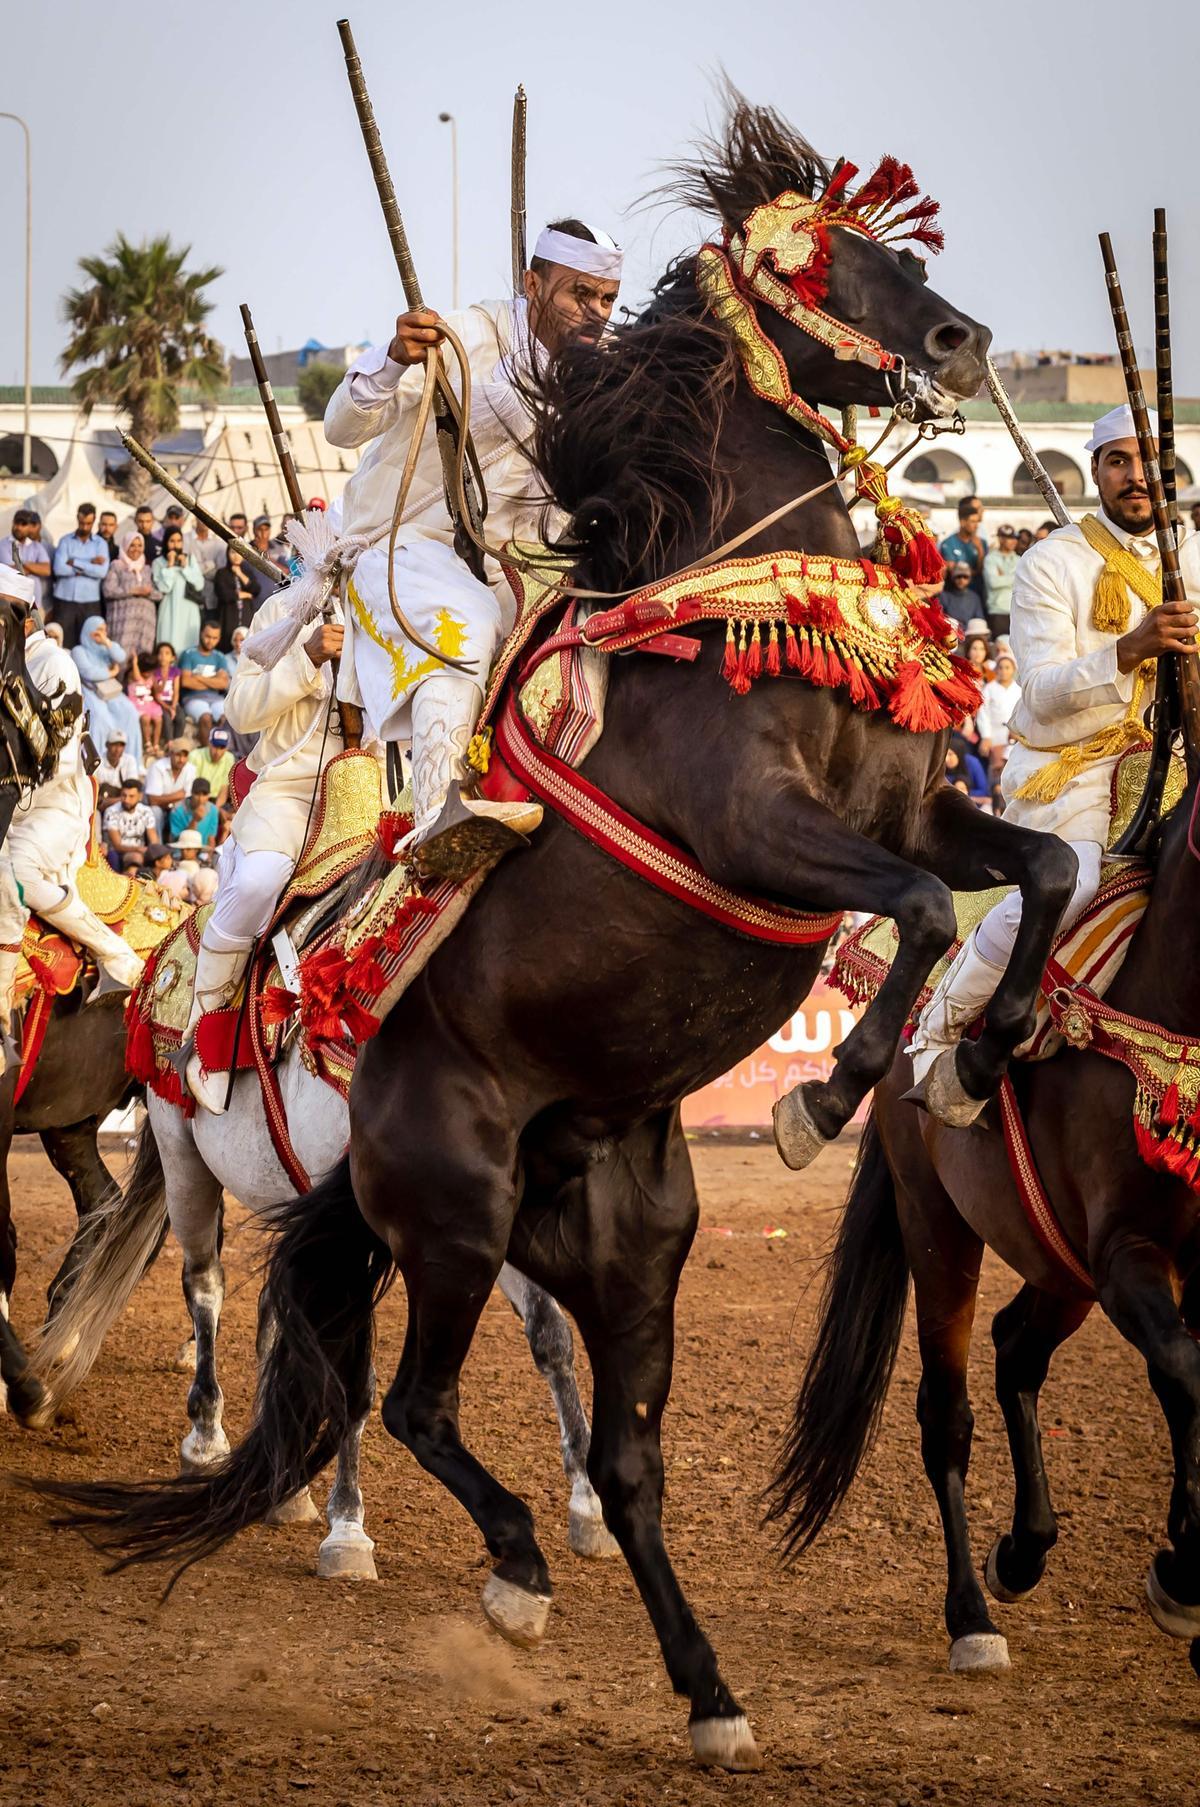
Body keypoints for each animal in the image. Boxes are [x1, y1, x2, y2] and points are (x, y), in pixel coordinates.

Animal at [32, 1048, 614, 1582]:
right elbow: (355, 1382)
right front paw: (348, 1530)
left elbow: (551, 1337)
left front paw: (590, 1507)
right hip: (186, 1168)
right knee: (205, 1287)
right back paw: (206, 1438)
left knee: (275, 1313)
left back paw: (282, 1481)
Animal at [773, 769, 1200, 1684]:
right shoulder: (1127, 1253)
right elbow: (1184, 1367)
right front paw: (1183, 1566)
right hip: (940, 1224)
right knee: (949, 1410)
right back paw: (972, 1610)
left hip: (1057, 1263)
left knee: (1017, 1348)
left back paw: (1024, 1548)